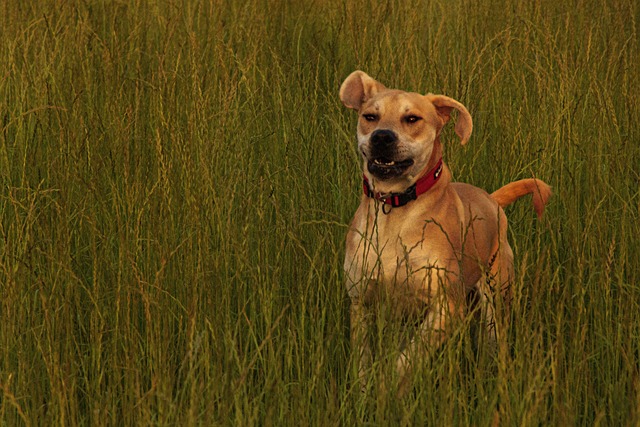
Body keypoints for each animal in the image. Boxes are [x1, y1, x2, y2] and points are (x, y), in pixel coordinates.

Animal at [340, 70, 552, 394]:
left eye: (412, 119)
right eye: (370, 117)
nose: (382, 137)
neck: (396, 207)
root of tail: (492, 198)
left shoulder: (446, 308)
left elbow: (406, 360)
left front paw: (388, 390)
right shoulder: (361, 301)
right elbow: (364, 360)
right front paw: (365, 393)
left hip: (496, 296)